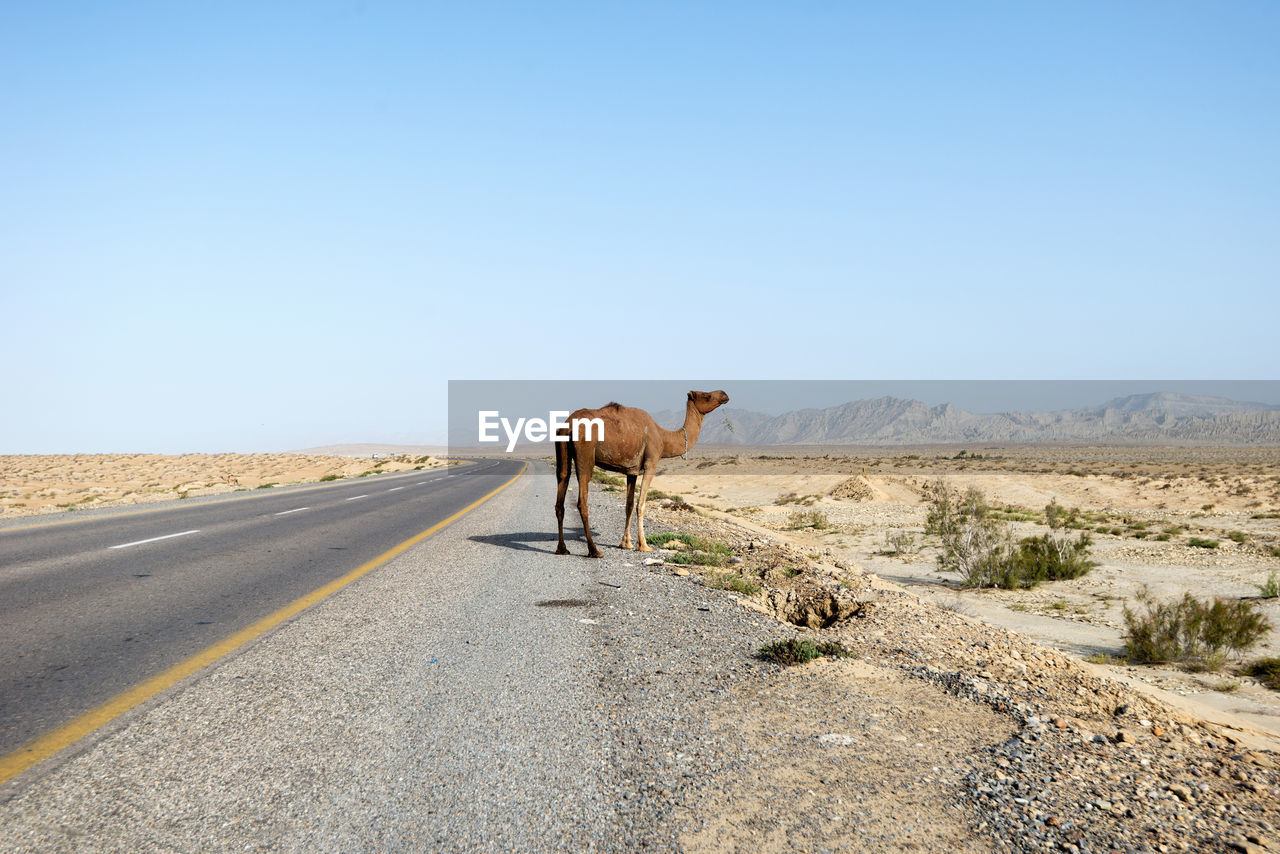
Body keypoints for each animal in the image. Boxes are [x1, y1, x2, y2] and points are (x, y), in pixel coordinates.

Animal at [552, 389, 732, 560]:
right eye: (707, 395)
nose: (724, 394)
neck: (664, 438)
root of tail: (568, 425)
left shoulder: (631, 470)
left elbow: (629, 505)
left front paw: (626, 543)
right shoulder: (651, 463)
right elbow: (641, 505)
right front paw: (643, 545)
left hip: (562, 449)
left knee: (562, 483)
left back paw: (562, 549)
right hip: (585, 451)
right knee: (582, 500)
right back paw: (594, 550)